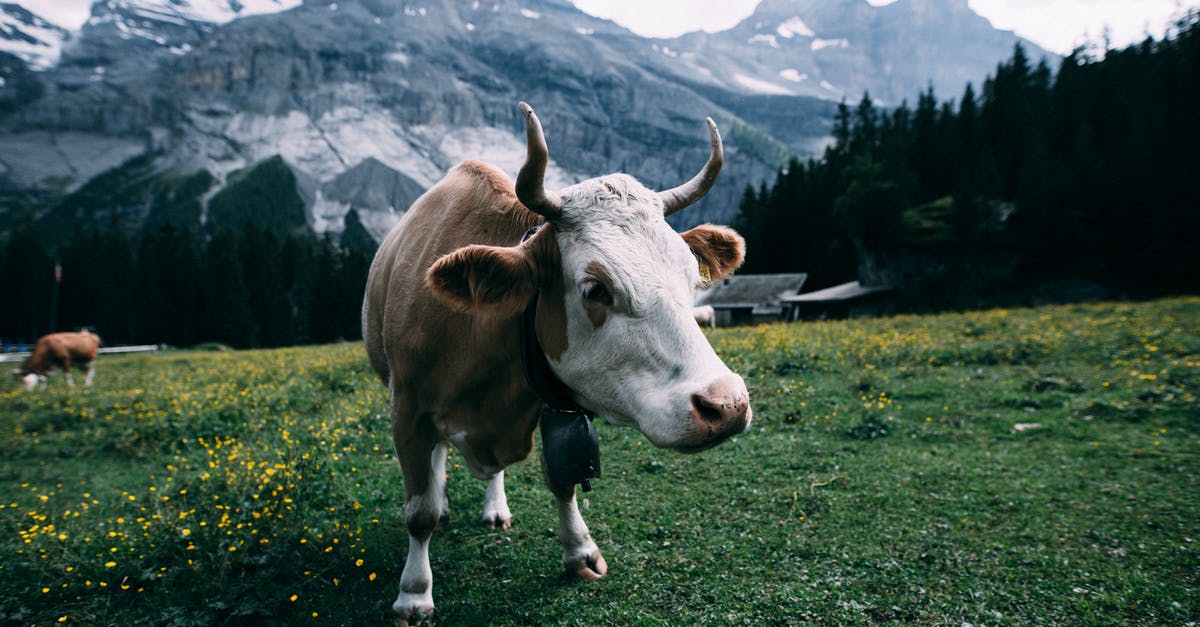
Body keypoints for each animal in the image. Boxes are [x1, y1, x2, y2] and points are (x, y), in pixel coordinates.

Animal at [360, 102, 753, 619]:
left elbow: (564, 478)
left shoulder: (553, 401)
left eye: (692, 276)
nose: (726, 405)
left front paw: (580, 552)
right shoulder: (406, 409)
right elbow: (418, 512)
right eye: (596, 288)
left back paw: (495, 507)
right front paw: (413, 593)